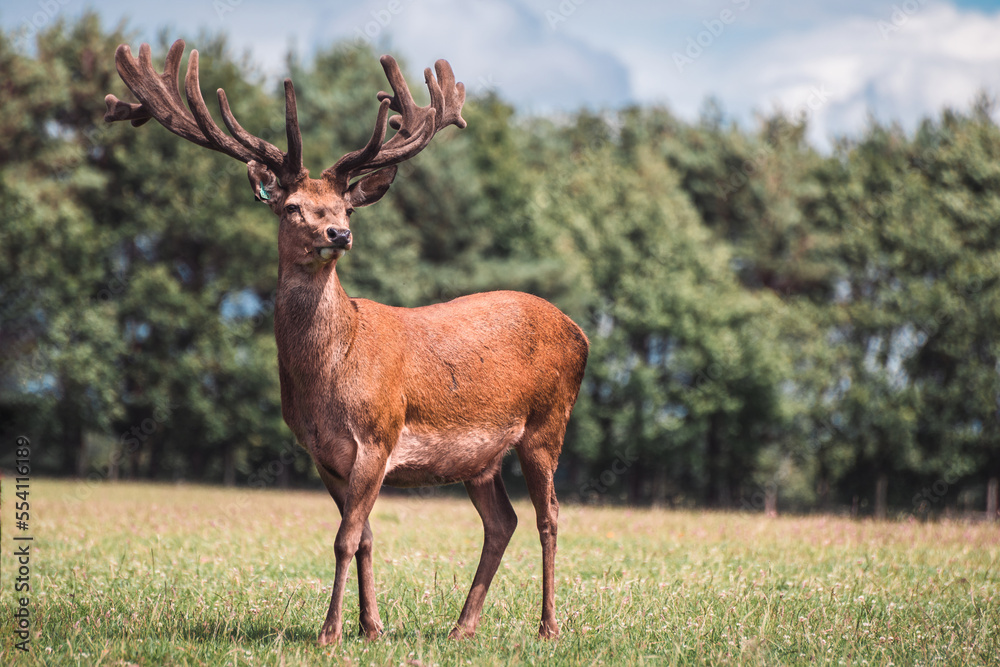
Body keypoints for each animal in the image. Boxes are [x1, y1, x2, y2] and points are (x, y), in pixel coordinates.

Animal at [104, 40, 589, 645]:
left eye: (347, 207)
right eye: (292, 207)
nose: (340, 233)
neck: (331, 373)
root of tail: (581, 333)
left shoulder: (378, 435)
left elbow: (344, 538)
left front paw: (330, 631)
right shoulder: (321, 454)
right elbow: (363, 536)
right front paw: (371, 626)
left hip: (548, 422)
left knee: (549, 516)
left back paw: (548, 625)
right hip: (482, 459)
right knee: (503, 521)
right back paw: (462, 627)